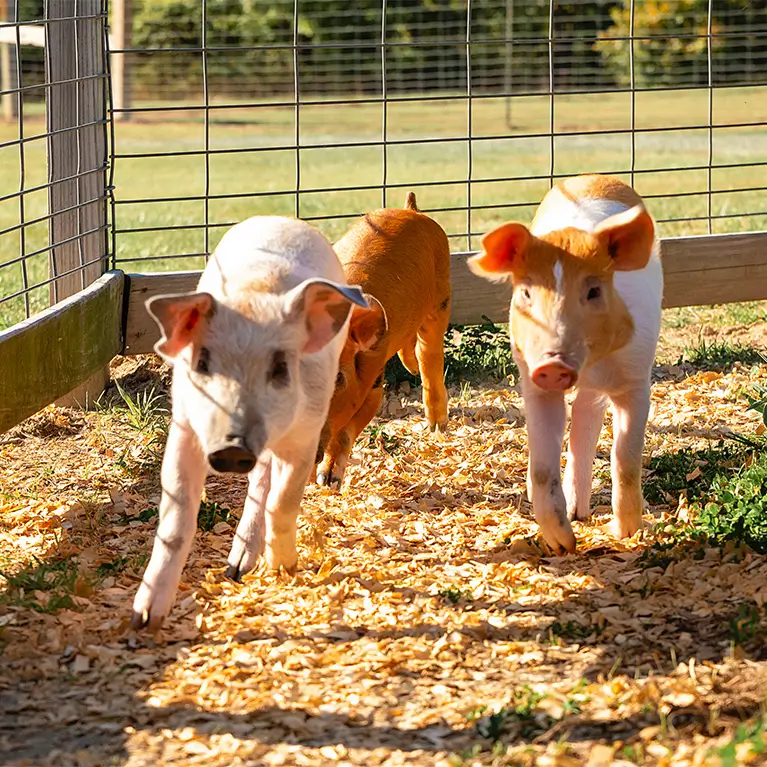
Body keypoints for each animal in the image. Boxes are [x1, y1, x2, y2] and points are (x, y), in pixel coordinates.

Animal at [131, 216, 368, 630]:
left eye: (281, 367)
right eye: (203, 362)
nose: (232, 447)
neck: (256, 293)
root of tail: (282, 219)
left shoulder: (307, 432)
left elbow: (283, 501)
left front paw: (285, 569)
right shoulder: (185, 426)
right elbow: (177, 518)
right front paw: (144, 620)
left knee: (264, 485)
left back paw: (244, 567)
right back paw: (235, 569)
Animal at [315, 192, 451, 488]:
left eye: (338, 377)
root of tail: (411, 209)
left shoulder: (374, 379)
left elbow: (346, 429)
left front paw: (328, 480)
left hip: (442, 295)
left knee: (430, 351)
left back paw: (437, 426)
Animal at [468, 174, 662, 554]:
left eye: (594, 291)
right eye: (526, 292)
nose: (554, 363)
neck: (588, 367)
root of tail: (594, 177)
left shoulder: (636, 377)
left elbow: (626, 458)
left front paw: (627, 534)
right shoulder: (534, 383)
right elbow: (544, 465)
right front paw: (562, 545)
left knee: (587, 417)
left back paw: (582, 512)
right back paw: (571, 513)